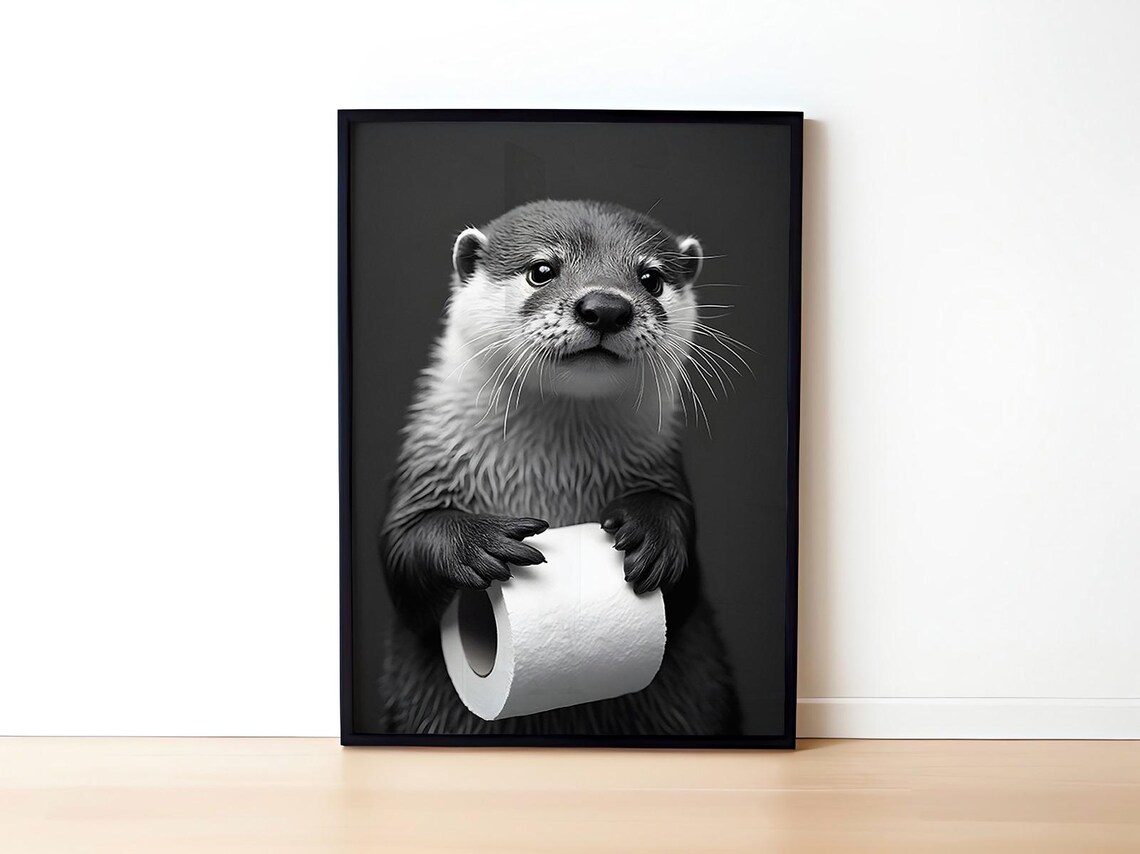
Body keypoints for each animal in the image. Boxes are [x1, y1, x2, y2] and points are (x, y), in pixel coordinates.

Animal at [378, 199, 740, 735]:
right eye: (542, 270)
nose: (606, 306)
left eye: (651, 278)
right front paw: (480, 544)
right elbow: (403, 551)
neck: (550, 470)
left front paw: (652, 533)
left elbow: (683, 582)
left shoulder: (664, 471)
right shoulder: (427, 466)